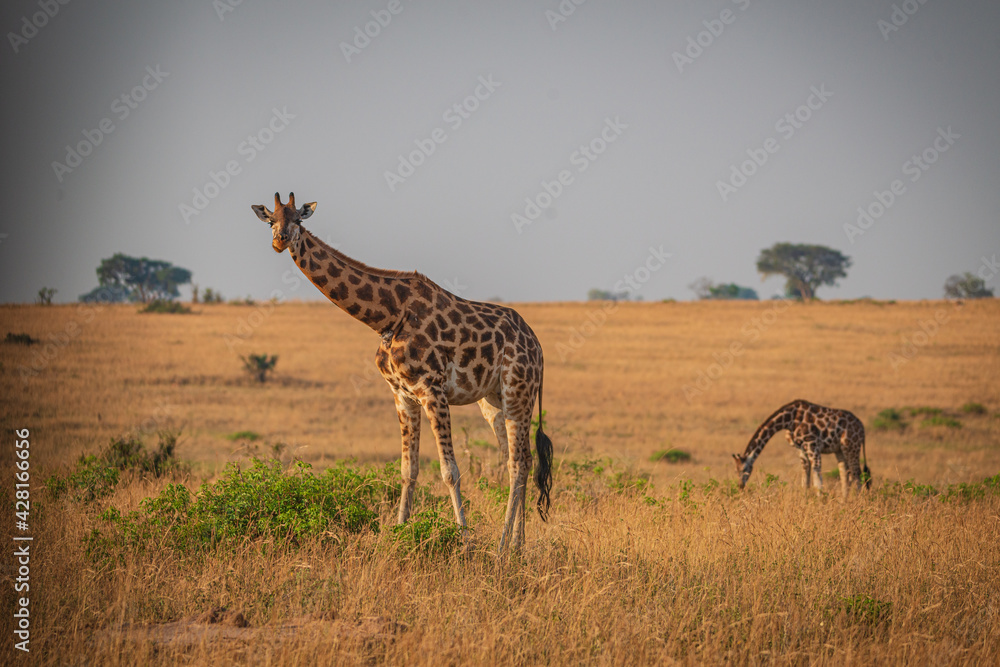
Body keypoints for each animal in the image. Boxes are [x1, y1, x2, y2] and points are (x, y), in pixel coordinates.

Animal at [251, 193, 553, 552]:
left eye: (298, 219)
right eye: (271, 220)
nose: (280, 240)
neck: (387, 317)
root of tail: (538, 347)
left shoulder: (433, 391)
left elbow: (450, 471)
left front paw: (464, 542)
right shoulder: (403, 395)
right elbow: (408, 471)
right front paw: (398, 534)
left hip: (518, 391)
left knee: (519, 463)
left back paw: (503, 547)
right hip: (494, 402)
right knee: (518, 460)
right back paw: (517, 545)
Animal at [732, 399, 870, 495]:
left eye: (744, 469)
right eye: (736, 470)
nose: (740, 486)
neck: (789, 419)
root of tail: (862, 428)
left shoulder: (812, 445)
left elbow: (817, 479)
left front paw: (820, 503)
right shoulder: (801, 449)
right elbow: (805, 480)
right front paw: (805, 502)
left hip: (851, 446)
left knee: (856, 474)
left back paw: (856, 502)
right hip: (840, 450)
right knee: (845, 475)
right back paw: (844, 502)